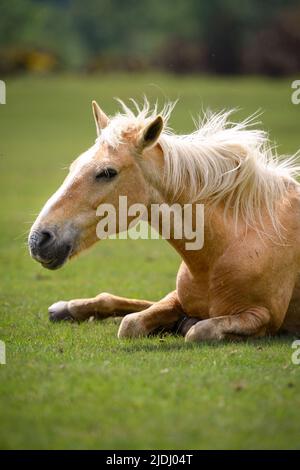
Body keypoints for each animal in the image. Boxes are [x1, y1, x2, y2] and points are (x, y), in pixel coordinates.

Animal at [28, 99, 300, 342]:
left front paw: (185, 325)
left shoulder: (262, 317)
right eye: (74, 165)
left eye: (107, 172)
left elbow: (199, 331)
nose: (39, 239)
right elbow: (130, 324)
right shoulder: (176, 298)